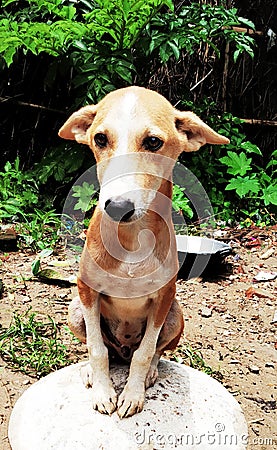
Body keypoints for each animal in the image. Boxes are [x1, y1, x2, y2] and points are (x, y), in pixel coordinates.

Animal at [58, 86, 229, 416]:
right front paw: (103, 392)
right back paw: (90, 370)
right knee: (106, 350)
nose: (117, 207)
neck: (131, 239)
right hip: (75, 311)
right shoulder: (86, 290)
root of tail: (121, 350)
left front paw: (133, 394)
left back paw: (150, 371)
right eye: (100, 139)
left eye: (152, 142)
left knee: (149, 352)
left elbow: (146, 350)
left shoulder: (163, 298)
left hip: (176, 314)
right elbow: (96, 349)